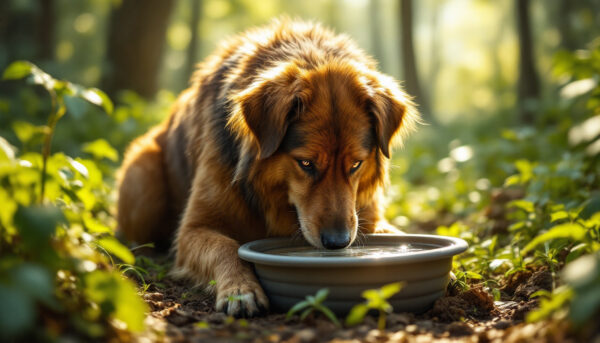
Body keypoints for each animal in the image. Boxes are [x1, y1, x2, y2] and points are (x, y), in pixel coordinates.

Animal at [116, 18, 418, 318]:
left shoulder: (366, 215)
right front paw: (240, 289)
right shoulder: (192, 230)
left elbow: (394, 234)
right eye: (306, 163)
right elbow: (225, 247)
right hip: (143, 175)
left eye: (356, 164)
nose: (338, 242)